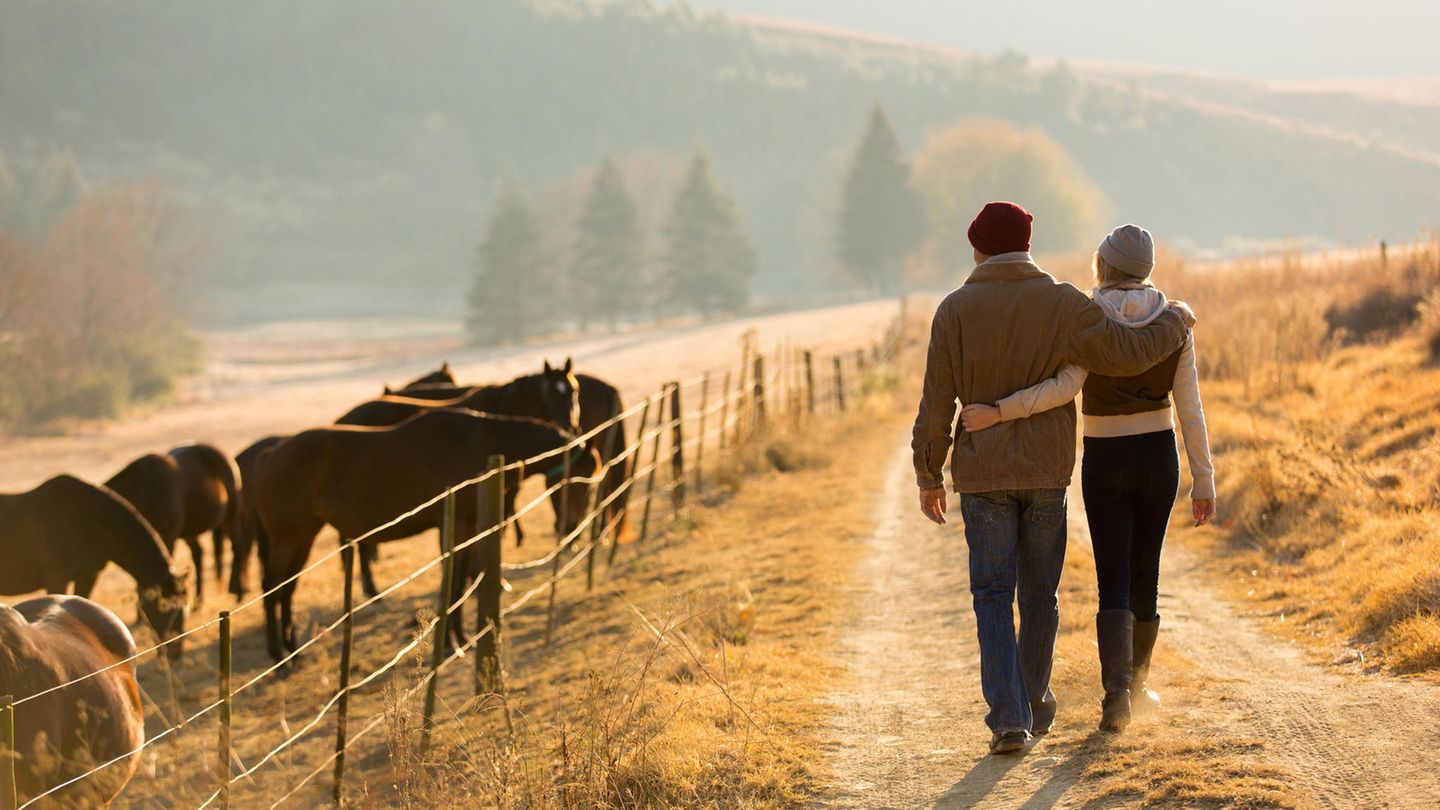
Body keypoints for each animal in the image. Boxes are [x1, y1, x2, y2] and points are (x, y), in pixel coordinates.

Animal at [105, 441, 239, 605]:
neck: (145, 491)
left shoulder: (167, 536)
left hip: (230, 517)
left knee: (238, 547)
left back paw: (239, 593)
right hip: (189, 532)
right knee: (198, 554)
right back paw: (198, 601)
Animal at [254, 406, 596, 660]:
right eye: (581, 478)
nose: (571, 527)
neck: (478, 443)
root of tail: (269, 456)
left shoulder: (468, 529)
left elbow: (458, 583)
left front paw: (462, 639)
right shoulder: (453, 528)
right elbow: (453, 581)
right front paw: (449, 644)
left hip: (303, 537)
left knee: (286, 590)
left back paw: (292, 652)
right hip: (287, 538)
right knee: (272, 588)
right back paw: (278, 656)